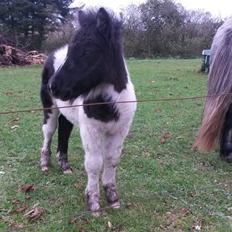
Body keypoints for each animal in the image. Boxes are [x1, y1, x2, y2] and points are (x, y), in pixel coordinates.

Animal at [40, 8, 137, 216]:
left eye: (88, 51)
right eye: (71, 51)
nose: (53, 86)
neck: (108, 104)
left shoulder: (120, 130)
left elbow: (112, 160)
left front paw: (113, 197)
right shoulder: (90, 130)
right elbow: (93, 164)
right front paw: (93, 203)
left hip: (67, 111)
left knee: (64, 130)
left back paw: (65, 166)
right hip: (50, 108)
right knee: (49, 131)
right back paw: (44, 163)